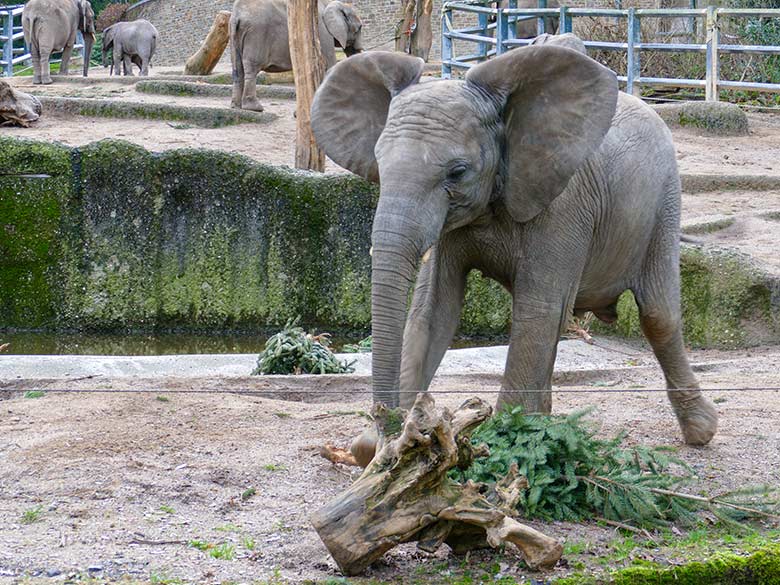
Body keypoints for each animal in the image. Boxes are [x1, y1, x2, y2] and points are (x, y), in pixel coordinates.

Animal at [230, 0, 364, 112]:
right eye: (359, 28)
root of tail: (237, 15)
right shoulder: (323, 33)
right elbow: (329, 65)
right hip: (256, 34)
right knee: (252, 68)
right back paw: (254, 108)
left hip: (235, 35)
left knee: (238, 69)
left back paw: (236, 106)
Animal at [312, 49, 720, 460]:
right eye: (379, 164)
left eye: (458, 172)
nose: (388, 427)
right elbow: (432, 310)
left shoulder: (564, 203)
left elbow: (537, 309)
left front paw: (503, 445)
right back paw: (548, 423)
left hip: (664, 201)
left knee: (658, 315)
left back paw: (700, 431)